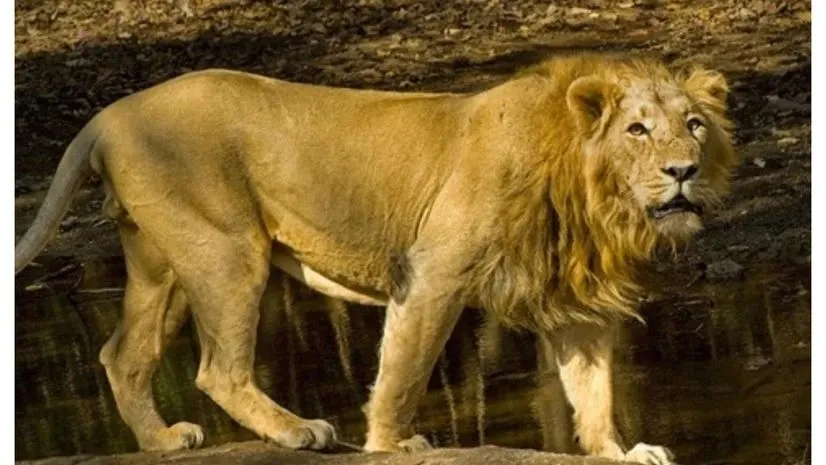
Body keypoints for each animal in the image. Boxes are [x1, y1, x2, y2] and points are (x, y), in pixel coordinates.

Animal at [14, 53, 736, 465]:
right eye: (636, 129)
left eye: (695, 124)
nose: (683, 171)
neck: (594, 197)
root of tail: (108, 113)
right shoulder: (435, 271)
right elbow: (404, 371)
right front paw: (391, 445)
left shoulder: (574, 299)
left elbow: (593, 388)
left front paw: (621, 451)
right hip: (226, 248)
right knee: (218, 369)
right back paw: (299, 431)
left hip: (162, 265)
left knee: (121, 355)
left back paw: (162, 442)